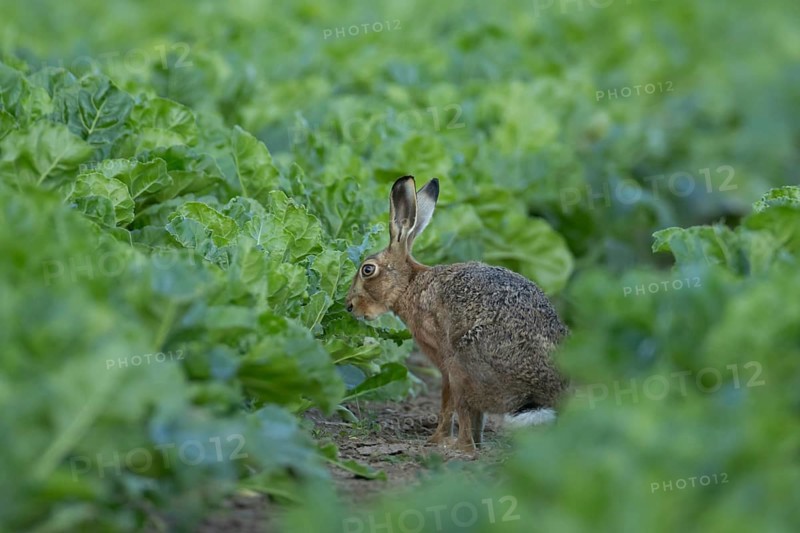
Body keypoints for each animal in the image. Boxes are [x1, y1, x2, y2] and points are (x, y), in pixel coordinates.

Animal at [345, 176, 569, 451]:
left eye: (368, 269)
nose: (349, 306)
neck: (410, 285)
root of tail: (537, 395)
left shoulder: (444, 362)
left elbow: (446, 404)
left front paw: (435, 440)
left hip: (461, 366)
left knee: (464, 423)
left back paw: (453, 447)